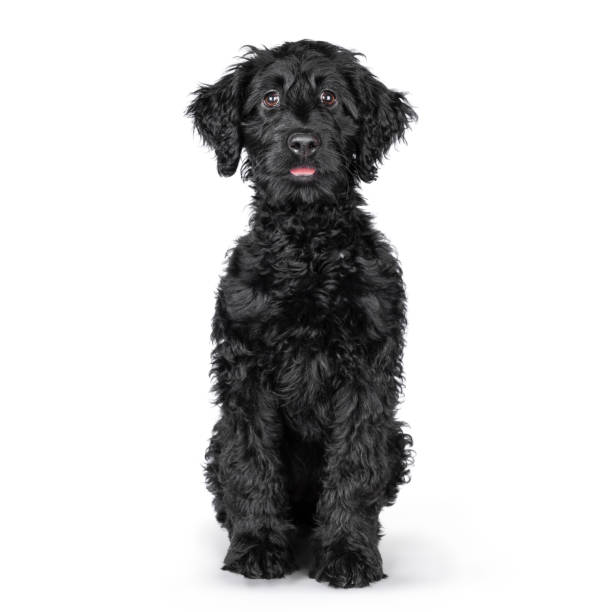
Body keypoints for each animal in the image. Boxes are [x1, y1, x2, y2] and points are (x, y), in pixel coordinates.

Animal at [186, 39, 416, 588]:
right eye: (270, 99)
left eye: (330, 98)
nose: (303, 143)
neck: (306, 244)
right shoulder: (246, 370)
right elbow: (252, 461)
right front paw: (258, 545)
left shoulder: (366, 373)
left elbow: (354, 464)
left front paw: (349, 552)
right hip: (216, 438)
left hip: (396, 437)